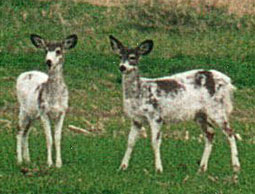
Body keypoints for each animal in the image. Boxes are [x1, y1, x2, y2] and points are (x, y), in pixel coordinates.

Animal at [16, 34, 77, 167]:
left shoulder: (62, 112)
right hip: (23, 109)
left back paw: (27, 160)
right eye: (46, 50)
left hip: (32, 114)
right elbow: (49, 139)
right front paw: (49, 163)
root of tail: (25, 74)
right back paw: (19, 160)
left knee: (26, 133)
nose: (48, 61)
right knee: (19, 131)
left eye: (58, 51)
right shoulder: (44, 112)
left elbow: (58, 139)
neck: (54, 98)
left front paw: (58, 163)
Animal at [108, 34, 240, 173]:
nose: (122, 67)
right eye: (120, 56)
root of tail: (227, 81)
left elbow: (155, 142)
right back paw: (202, 168)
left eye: (133, 57)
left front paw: (159, 169)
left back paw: (236, 167)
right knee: (210, 134)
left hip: (217, 108)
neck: (139, 93)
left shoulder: (155, 115)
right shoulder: (136, 119)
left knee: (230, 133)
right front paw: (122, 167)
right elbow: (130, 142)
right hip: (200, 114)